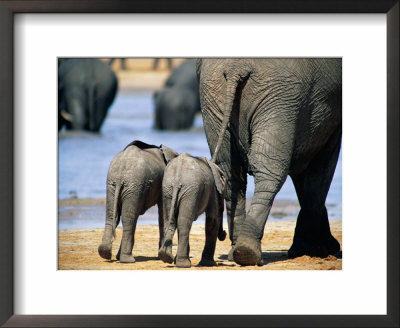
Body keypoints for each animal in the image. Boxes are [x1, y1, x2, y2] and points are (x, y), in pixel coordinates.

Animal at [197, 57, 340, 266]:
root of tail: (236, 67)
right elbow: (321, 169)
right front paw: (315, 250)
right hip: (279, 98)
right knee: (270, 170)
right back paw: (248, 252)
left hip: (216, 98)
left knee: (231, 173)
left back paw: (238, 252)